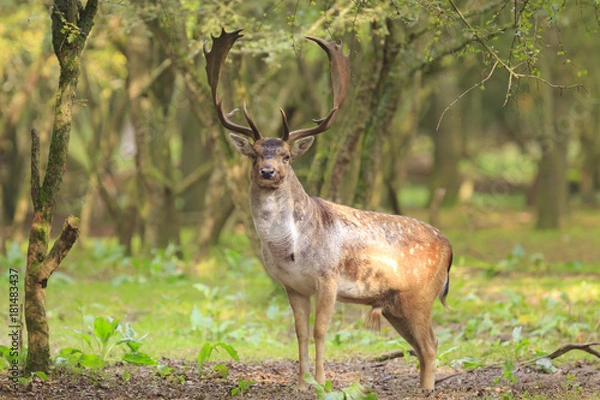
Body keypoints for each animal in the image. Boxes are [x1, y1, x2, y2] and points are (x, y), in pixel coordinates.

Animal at [204, 28, 452, 390]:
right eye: (254, 154)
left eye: (287, 156)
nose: (268, 172)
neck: (290, 251)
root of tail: (449, 247)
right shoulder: (292, 285)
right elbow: (300, 333)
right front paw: (301, 382)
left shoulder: (328, 276)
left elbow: (321, 331)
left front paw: (322, 382)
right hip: (395, 305)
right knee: (421, 346)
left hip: (420, 293)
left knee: (432, 343)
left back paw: (427, 389)